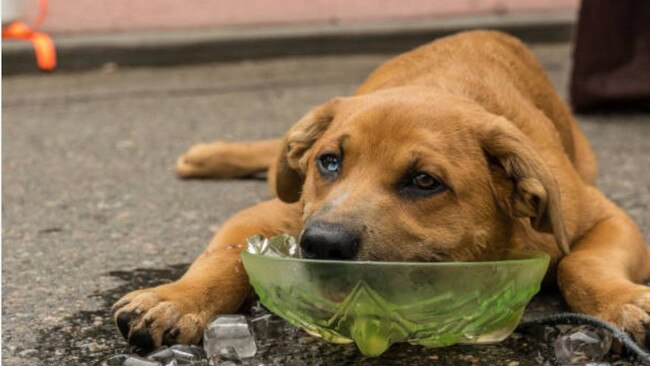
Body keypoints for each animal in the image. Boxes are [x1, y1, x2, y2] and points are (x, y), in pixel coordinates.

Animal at [114, 31, 648, 352]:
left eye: (424, 181)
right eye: (329, 161)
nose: (321, 244)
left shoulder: (603, 216)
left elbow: (582, 263)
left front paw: (624, 302)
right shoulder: (278, 213)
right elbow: (222, 257)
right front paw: (175, 299)